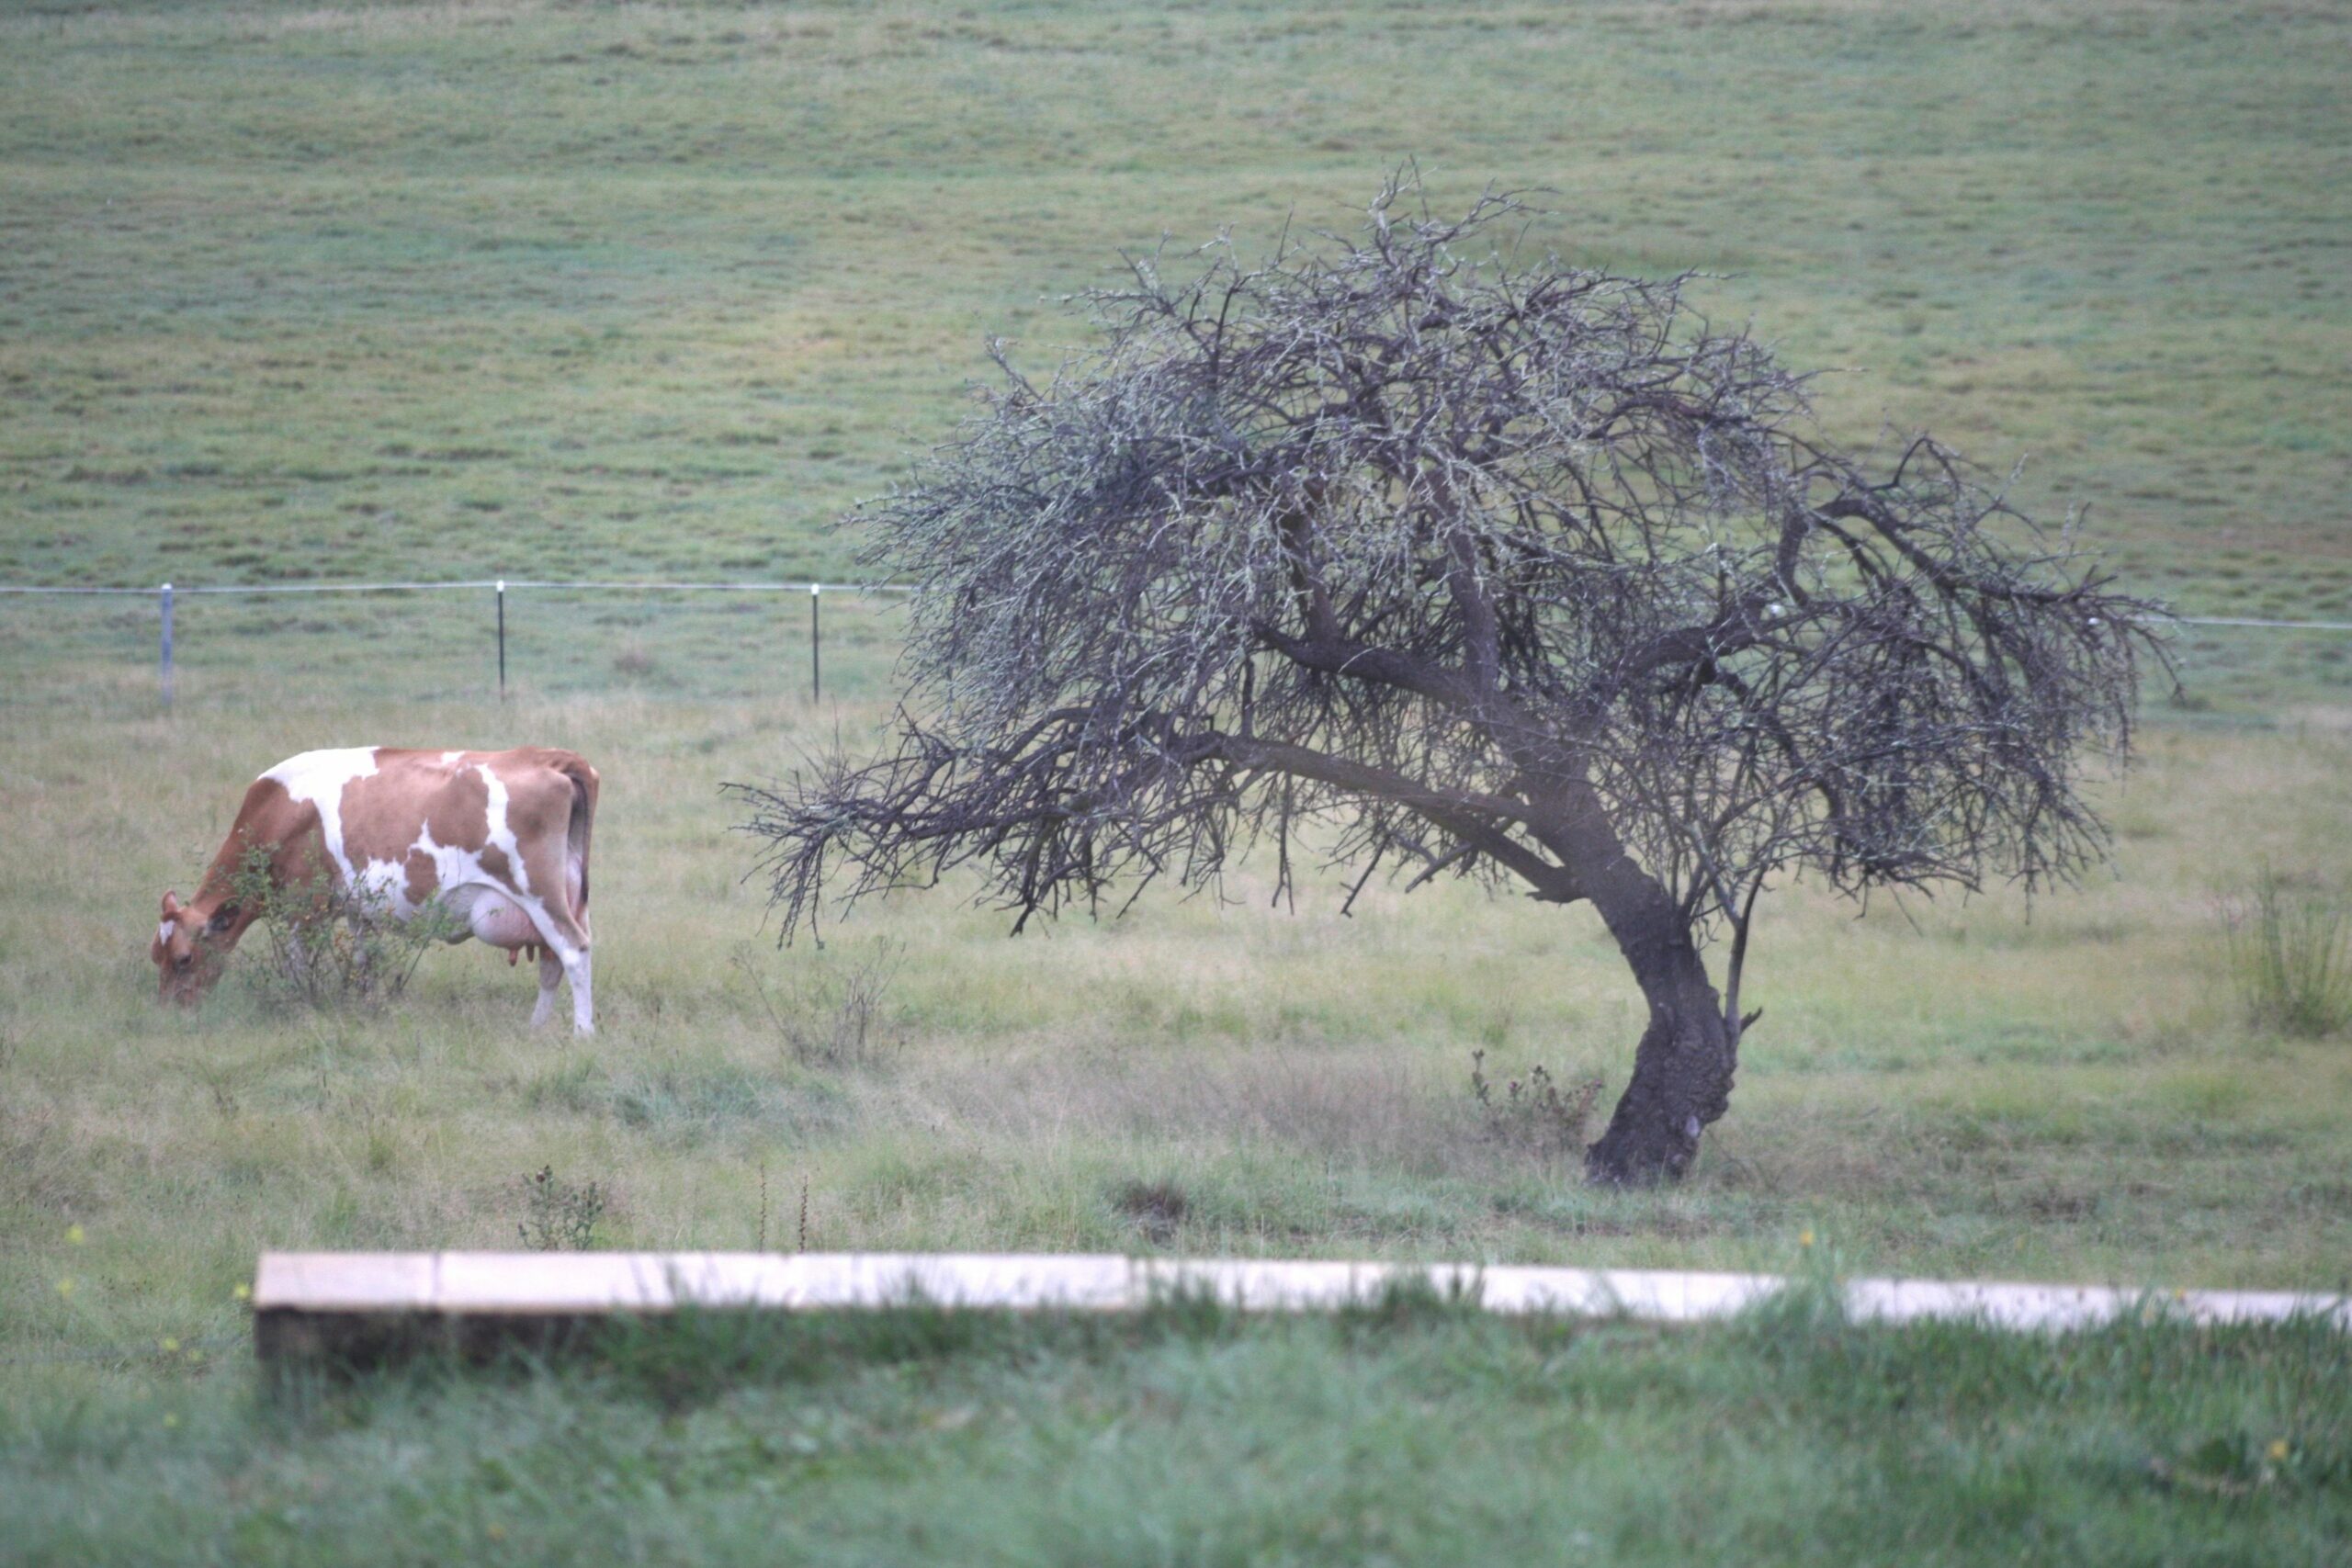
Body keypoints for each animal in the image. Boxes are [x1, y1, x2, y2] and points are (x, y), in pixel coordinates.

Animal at [153, 747, 602, 1029]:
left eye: (184, 958)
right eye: (157, 955)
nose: (170, 1012)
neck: (278, 809)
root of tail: (545, 755)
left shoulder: (303, 906)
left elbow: (298, 965)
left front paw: (297, 1004)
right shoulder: (357, 910)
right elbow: (364, 959)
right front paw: (364, 1004)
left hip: (538, 892)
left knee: (573, 952)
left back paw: (582, 1033)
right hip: (569, 898)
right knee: (552, 962)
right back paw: (535, 1027)